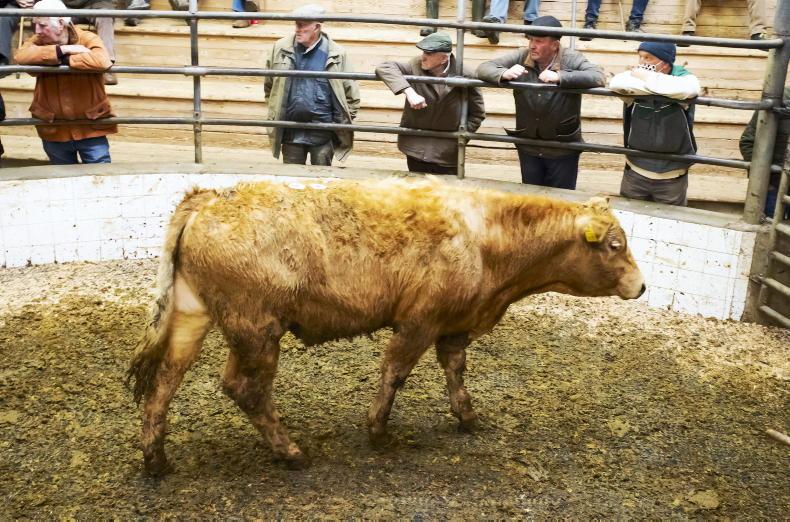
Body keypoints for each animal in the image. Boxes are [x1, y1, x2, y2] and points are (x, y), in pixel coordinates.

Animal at [127, 176, 645, 475]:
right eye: (614, 245)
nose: (641, 286)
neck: (485, 237)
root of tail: (209, 198)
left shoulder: (454, 323)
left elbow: (455, 369)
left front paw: (467, 416)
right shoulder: (420, 320)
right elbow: (395, 371)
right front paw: (378, 431)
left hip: (193, 314)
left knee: (165, 381)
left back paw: (156, 459)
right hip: (256, 327)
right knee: (246, 388)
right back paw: (290, 452)